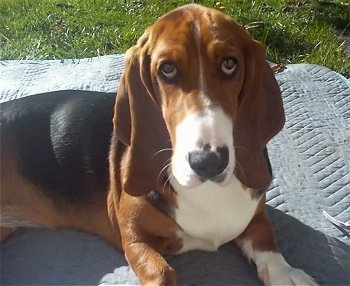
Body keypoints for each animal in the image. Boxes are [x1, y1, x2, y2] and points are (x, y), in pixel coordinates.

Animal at [0, 4, 318, 286]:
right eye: (167, 69)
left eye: (230, 64)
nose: (208, 163)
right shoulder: (132, 235)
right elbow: (163, 272)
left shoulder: (256, 213)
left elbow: (266, 239)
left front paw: (285, 273)